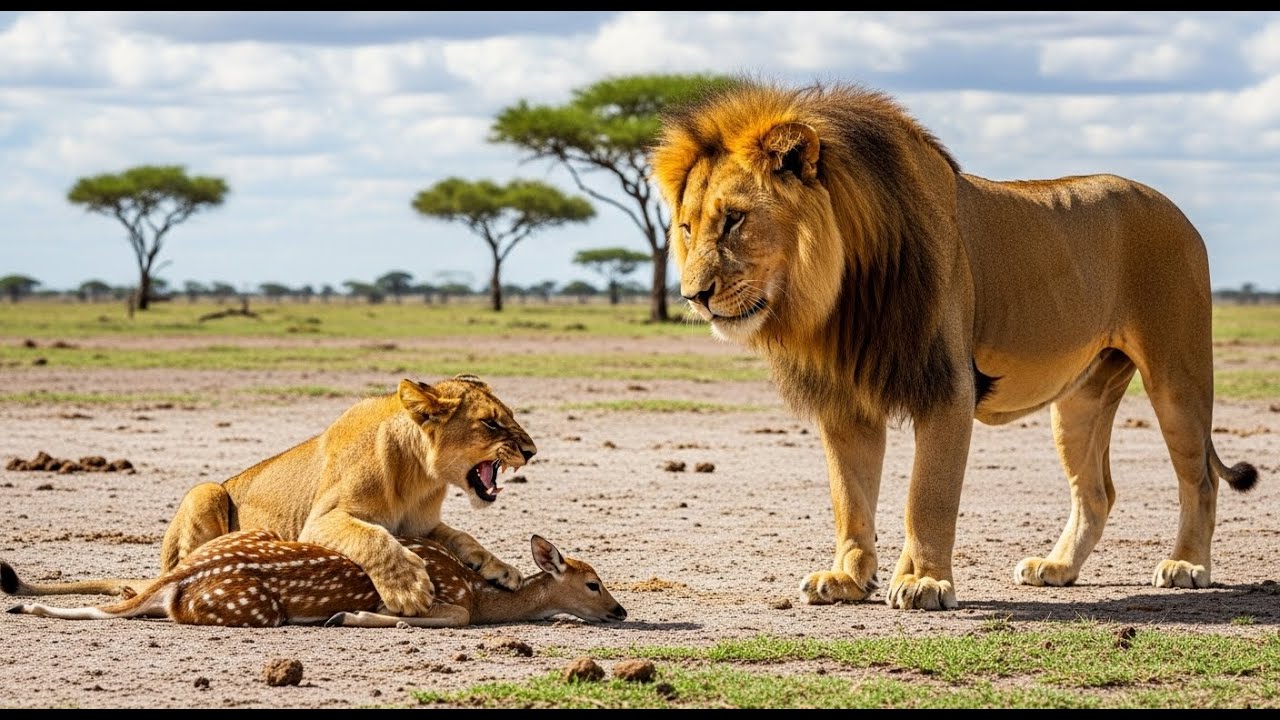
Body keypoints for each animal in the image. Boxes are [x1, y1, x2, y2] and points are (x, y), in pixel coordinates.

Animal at [7, 374, 536, 618]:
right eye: (492, 424)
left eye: (510, 418)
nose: (531, 451)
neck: (420, 476)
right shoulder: (321, 521)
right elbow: (375, 539)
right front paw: (408, 588)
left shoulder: (425, 526)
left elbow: (464, 537)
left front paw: (502, 569)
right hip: (205, 491)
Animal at [650, 78, 1259, 611]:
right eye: (687, 226)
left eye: (734, 220)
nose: (693, 296)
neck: (838, 295)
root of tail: (1176, 210)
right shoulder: (844, 400)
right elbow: (850, 496)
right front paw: (847, 577)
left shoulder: (947, 384)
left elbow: (928, 495)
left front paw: (923, 582)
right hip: (1080, 399)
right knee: (1096, 491)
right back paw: (1057, 568)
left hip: (1176, 373)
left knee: (1200, 477)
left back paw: (1187, 566)